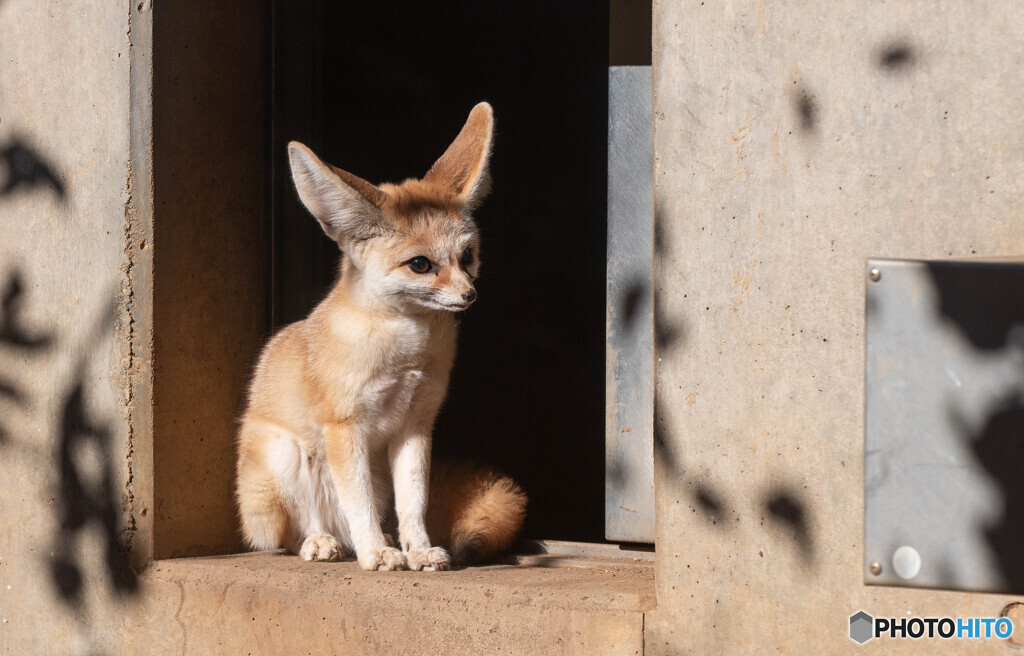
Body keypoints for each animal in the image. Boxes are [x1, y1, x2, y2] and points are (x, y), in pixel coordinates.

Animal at [235, 102, 524, 569]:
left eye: (467, 256)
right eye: (421, 265)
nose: (470, 295)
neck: (406, 355)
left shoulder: (416, 427)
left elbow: (414, 501)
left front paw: (417, 549)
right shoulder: (345, 427)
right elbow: (359, 504)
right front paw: (376, 552)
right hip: (288, 454)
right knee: (294, 532)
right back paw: (323, 543)